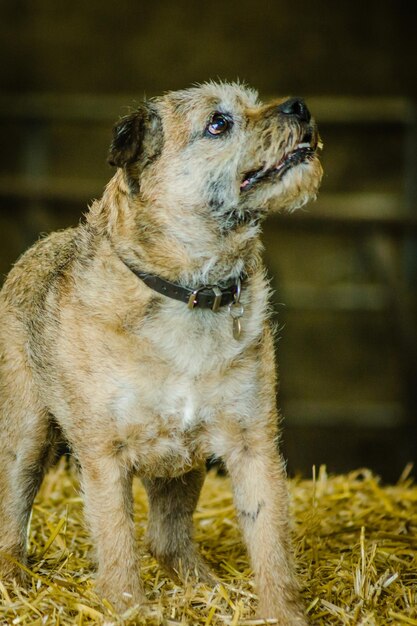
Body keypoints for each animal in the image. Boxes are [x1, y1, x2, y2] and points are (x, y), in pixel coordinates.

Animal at [0, 81, 322, 620]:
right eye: (219, 123)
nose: (301, 106)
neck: (190, 290)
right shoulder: (105, 455)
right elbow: (116, 542)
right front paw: (127, 607)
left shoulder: (251, 444)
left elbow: (270, 540)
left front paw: (283, 613)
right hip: (25, 438)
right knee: (10, 521)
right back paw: (13, 582)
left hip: (182, 467)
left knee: (165, 540)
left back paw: (203, 588)